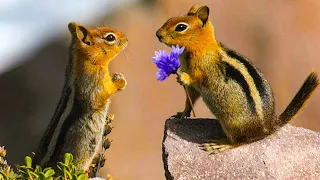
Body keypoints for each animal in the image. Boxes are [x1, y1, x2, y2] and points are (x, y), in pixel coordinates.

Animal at [32, 22, 127, 169]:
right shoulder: (93, 82)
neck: (87, 60)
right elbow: (103, 94)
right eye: (110, 37)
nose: (126, 39)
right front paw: (120, 82)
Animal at [156, 4, 318, 153]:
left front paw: (183, 77)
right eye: (170, 19)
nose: (158, 34)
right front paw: (182, 114)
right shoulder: (193, 89)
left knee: (240, 142)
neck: (202, 47)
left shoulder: (205, 71)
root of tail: (269, 126)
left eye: (180, 27)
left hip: (231, 123)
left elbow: (198, 79)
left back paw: (221, 144)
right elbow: (190, 100)